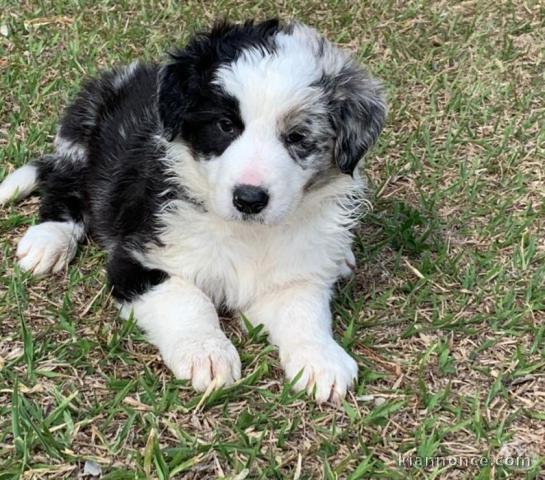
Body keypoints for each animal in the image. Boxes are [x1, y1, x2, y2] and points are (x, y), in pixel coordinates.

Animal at [0, 18, 384, 404]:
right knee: (64, 186)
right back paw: (48, 240)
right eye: (225, 125)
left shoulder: (293, 274)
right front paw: (207, 353)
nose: (249, 199)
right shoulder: (138, 258)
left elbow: (302, 310)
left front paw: (320, 358)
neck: (246, 232)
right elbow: (188, 299)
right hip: (81, 132)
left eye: (297, 137)